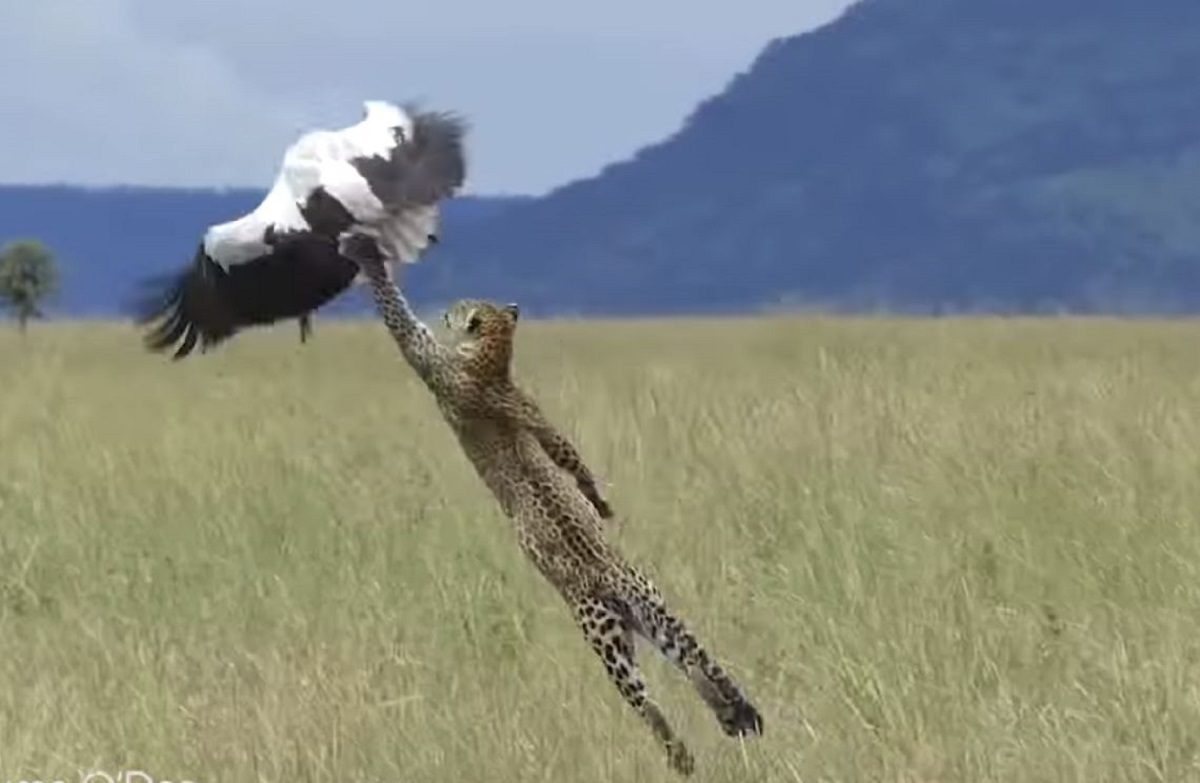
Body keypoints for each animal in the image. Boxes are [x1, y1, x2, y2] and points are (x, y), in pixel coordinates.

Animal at [355, 257, 764, 776]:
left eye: (461, 307)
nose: (447, 312)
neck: (492, 359)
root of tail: (616, 580)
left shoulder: (433, 363)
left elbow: (401, 324)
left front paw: (370, 264)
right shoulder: (532, 413)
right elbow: (567, 453)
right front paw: (599, 504)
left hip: (603, 637)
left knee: (649, 705)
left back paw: (683, 757)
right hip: (658, 614)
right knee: (699, 661)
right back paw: (738, 714)